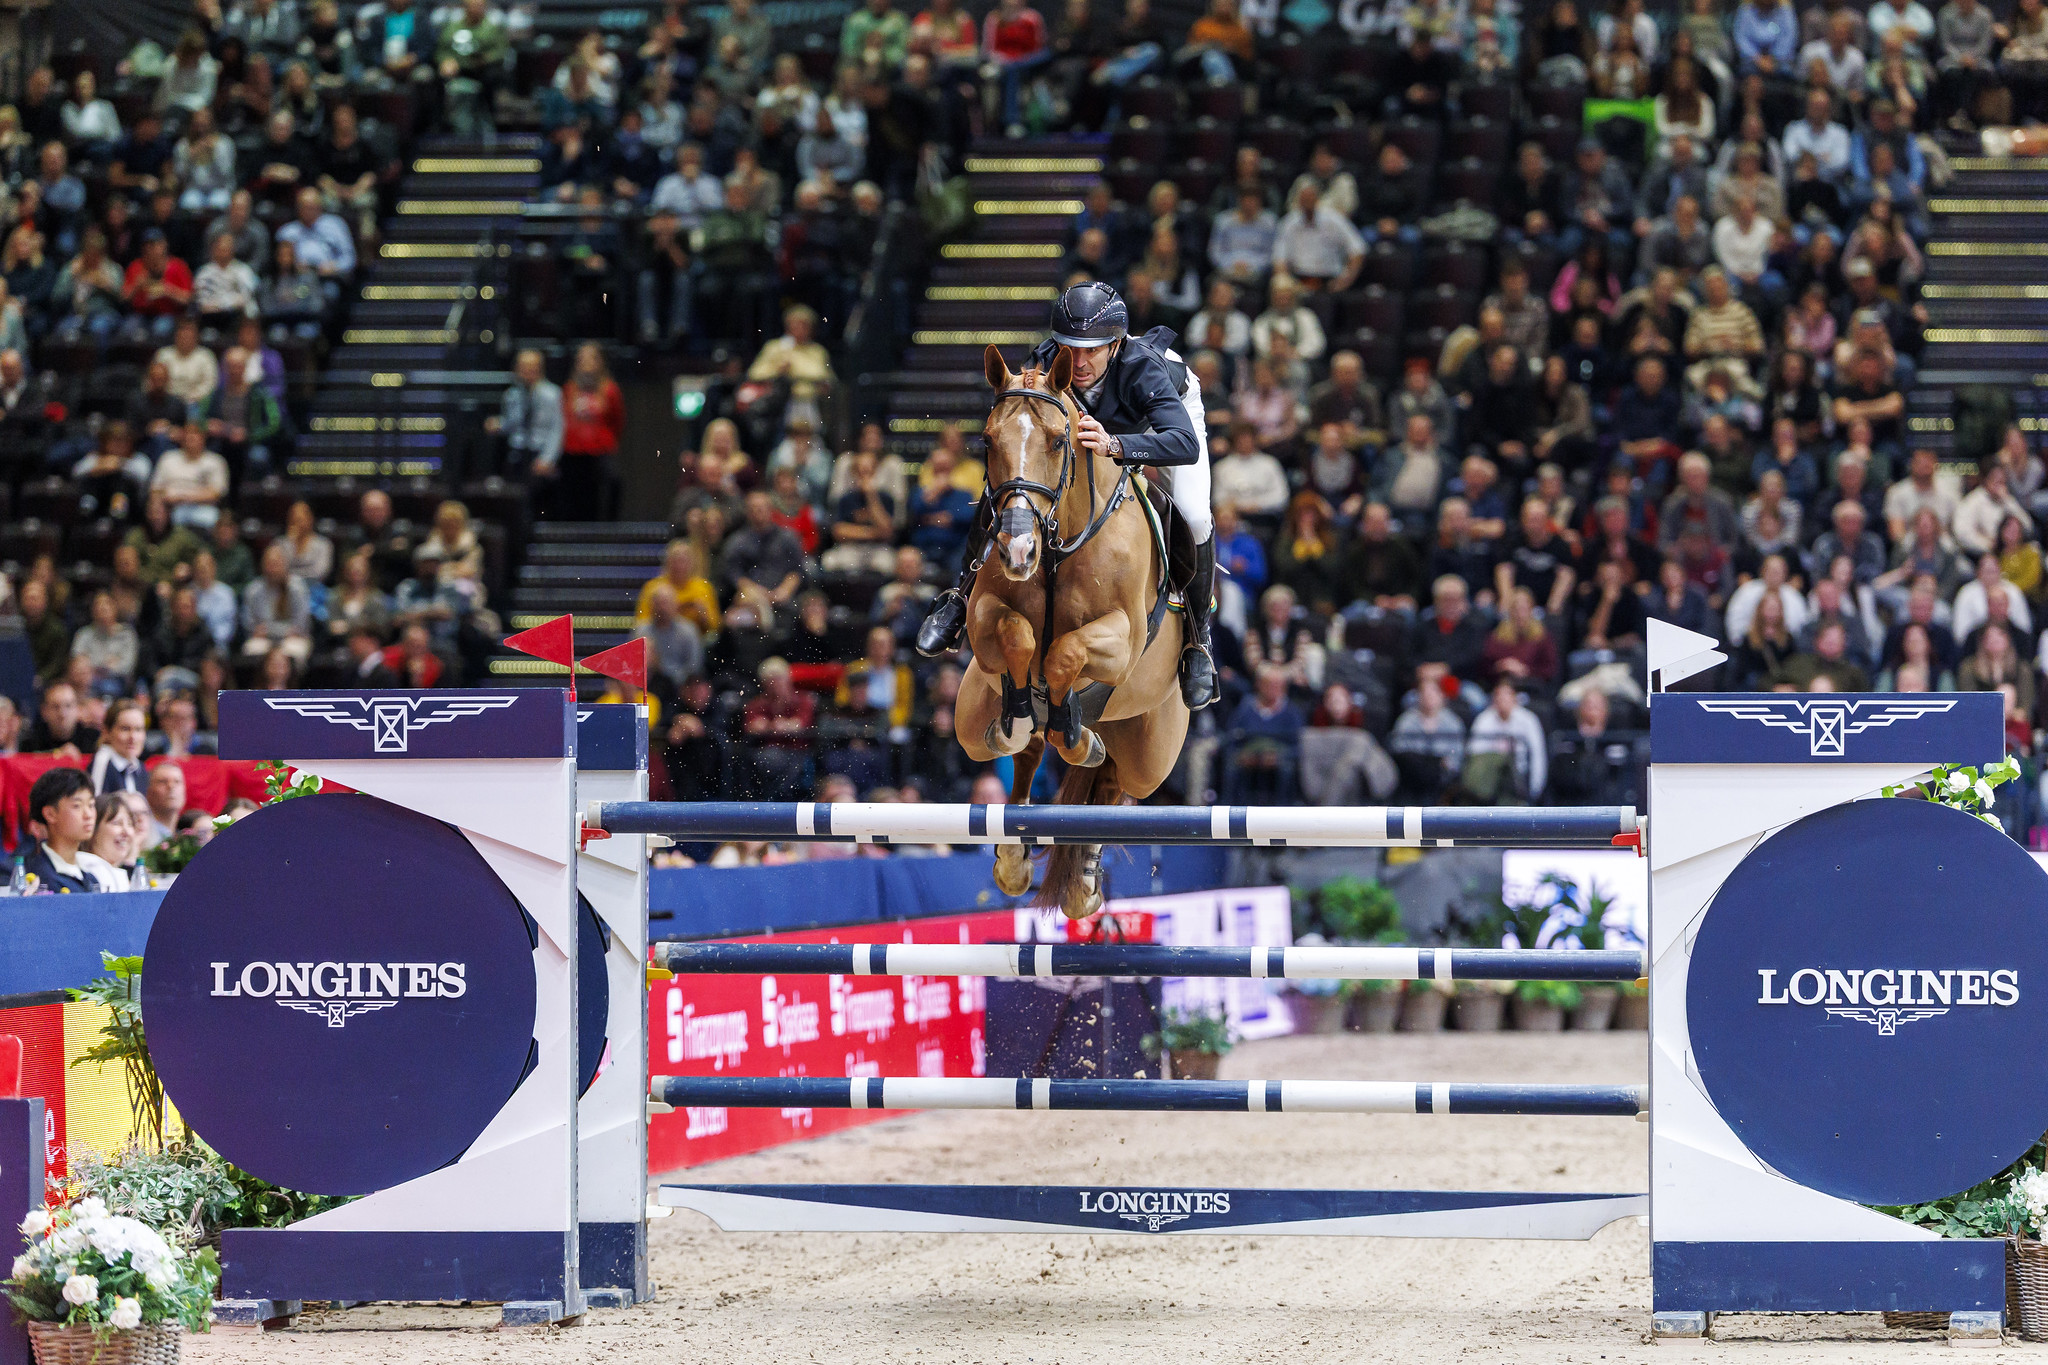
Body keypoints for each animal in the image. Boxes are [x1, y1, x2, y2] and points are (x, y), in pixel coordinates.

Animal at [953, 344, 1192, 918]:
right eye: (987, 441)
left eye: (1059, 441)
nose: (1018, 549)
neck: (1060, 542)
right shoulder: (983, 615)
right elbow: (1018, 636)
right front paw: (1021, 715)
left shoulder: (1123, 640)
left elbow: (1064, 653)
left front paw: (1075, 737)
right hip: (969, 718)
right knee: (1024, 749)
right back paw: (1015, 853)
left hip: (1152, 750)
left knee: (1115, 779)